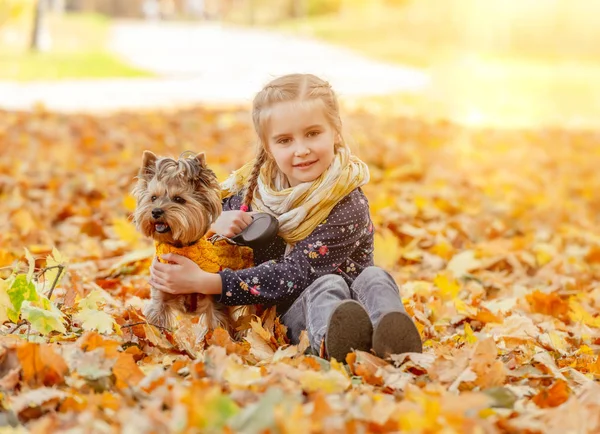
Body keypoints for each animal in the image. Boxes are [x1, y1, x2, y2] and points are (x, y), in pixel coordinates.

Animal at [131, 152, 253, 332]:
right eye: (153, 198)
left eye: (178, 199)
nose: (156, 211)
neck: (179, 247)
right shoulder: (159, 297)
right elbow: (157, 324)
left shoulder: (215, 304)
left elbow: (218, 328)